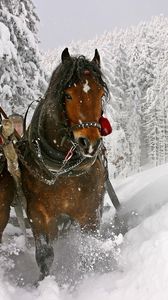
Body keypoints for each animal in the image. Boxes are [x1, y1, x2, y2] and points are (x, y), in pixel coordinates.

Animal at [0, 48, 117, 282]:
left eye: (100, 94)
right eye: (68, 95)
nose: (89, 143)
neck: (64, 170)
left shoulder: (90, 212)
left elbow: (88, 247)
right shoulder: (39, 214)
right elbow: (45, 255)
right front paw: (44, 282)